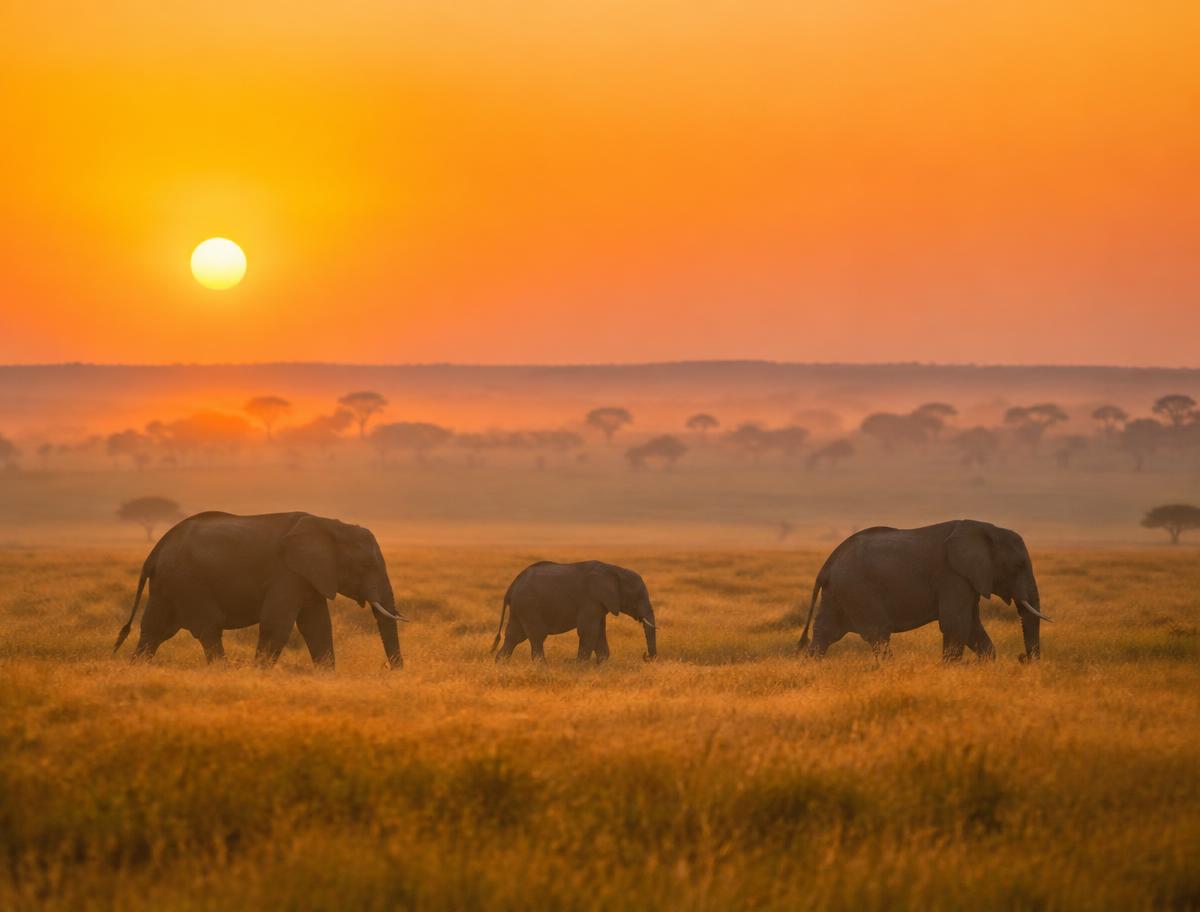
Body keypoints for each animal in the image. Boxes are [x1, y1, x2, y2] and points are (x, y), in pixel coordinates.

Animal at [112, 511, 407, 669]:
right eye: (366, 565)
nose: (390, 671)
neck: (331, 525)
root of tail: (155, 551)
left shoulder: (308, 576)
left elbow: (317, 626)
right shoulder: (287, 573)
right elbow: (277, 624)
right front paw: (259, 674)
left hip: (167, 584)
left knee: (154, 631)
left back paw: (135, 670)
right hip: (187, 580)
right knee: (207, 628)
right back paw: (223, 673)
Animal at [491, 561, 657, 663]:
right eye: (638, 596)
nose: (646, 656)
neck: (615, 570)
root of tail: (511, 587)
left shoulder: (600, 604)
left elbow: (599, 632)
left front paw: (601, 664)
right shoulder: (590, 599)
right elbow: (589, 631)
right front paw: (581, 666)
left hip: (520, 609)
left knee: (514, 637)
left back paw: (500, 664)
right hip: (529, 606)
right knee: (536, 637)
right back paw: (543, 667)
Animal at [798, 519, 1050, 662]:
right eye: (1019, 565)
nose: (1023, 658)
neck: (988, 530)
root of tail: (827, 563)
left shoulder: (968, 579)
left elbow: (971, 625)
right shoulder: (952, 575)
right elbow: (956, 624)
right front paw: (950, 671)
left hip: (838, 593)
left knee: (825, 634)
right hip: (858, 590)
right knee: (877, 634)